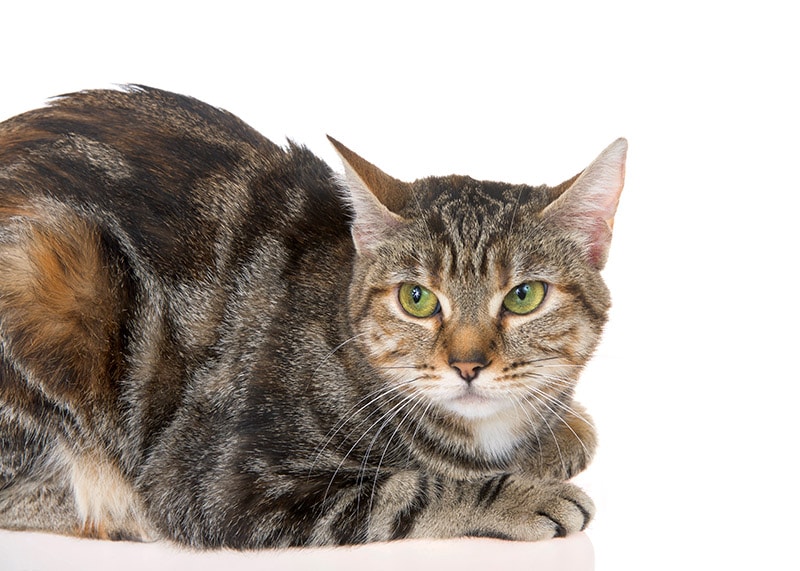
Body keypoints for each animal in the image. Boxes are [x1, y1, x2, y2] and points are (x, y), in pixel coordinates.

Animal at [0, 86, 624, 548]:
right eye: (416, 299)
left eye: (524, 296)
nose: (467, 364)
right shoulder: (222, 482)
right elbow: (408, 490)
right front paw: (522, 493)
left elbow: (574, 430)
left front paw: (558, 435)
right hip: (49, 271)